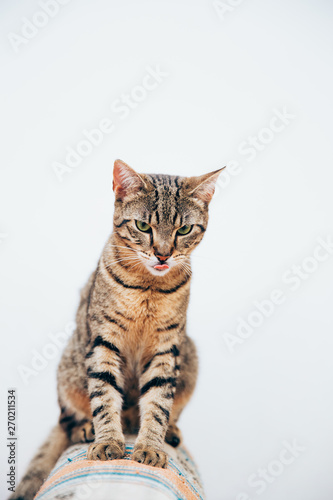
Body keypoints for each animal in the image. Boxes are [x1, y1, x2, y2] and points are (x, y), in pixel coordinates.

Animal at [11, 158, 223, 498]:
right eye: (143, 226)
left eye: (184, 229)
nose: (163, 254)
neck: (149, 287)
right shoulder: (103, 340)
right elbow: (104, 395)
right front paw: (108, 441)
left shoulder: (167, 347)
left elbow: (158, 402)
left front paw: (150, 447)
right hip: (69, 367)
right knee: (66, 420)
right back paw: (86, 429)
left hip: (189, 356)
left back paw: (169, 432)